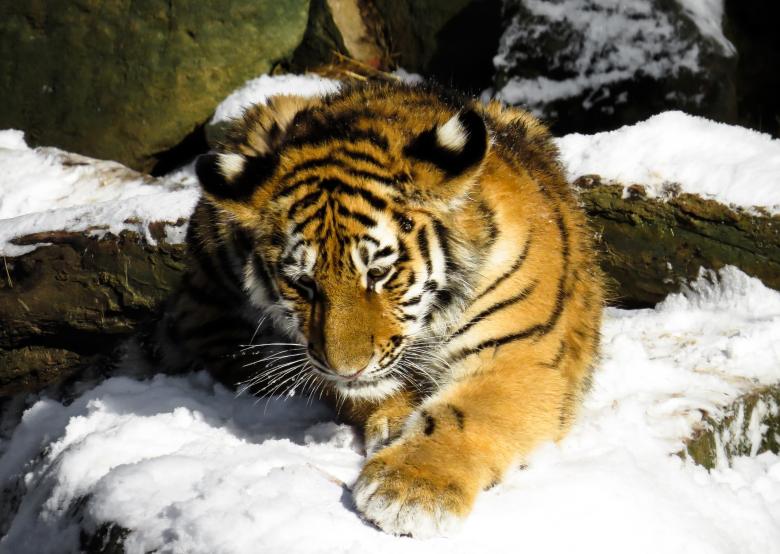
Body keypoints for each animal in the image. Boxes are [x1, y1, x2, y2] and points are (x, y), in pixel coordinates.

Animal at [154, 80, 604, 537]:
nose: (346, 370)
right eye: (303, 283)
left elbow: (467, 415)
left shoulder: (519, 352)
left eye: (379, 273)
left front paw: (410, 490)